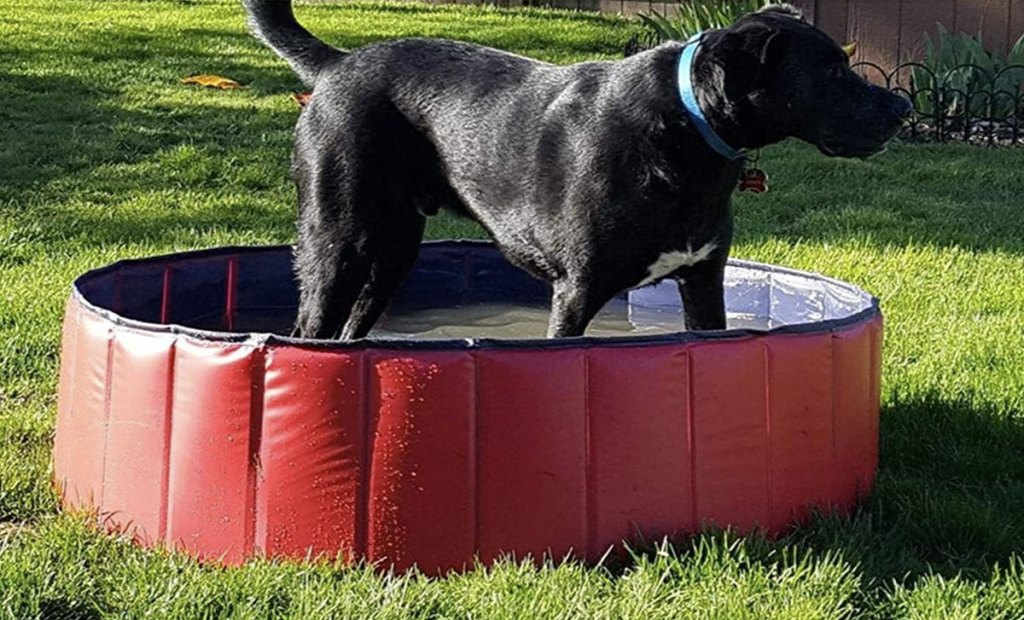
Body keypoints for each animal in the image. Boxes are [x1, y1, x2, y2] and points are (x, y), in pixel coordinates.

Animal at [243, 1, 909, 338]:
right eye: (829, 70)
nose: (902, 109)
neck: (686, 131)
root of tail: (337, 65)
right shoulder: (576, 291)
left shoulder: (703, 279)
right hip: (338, 240)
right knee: (309, 332)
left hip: (395, 249)